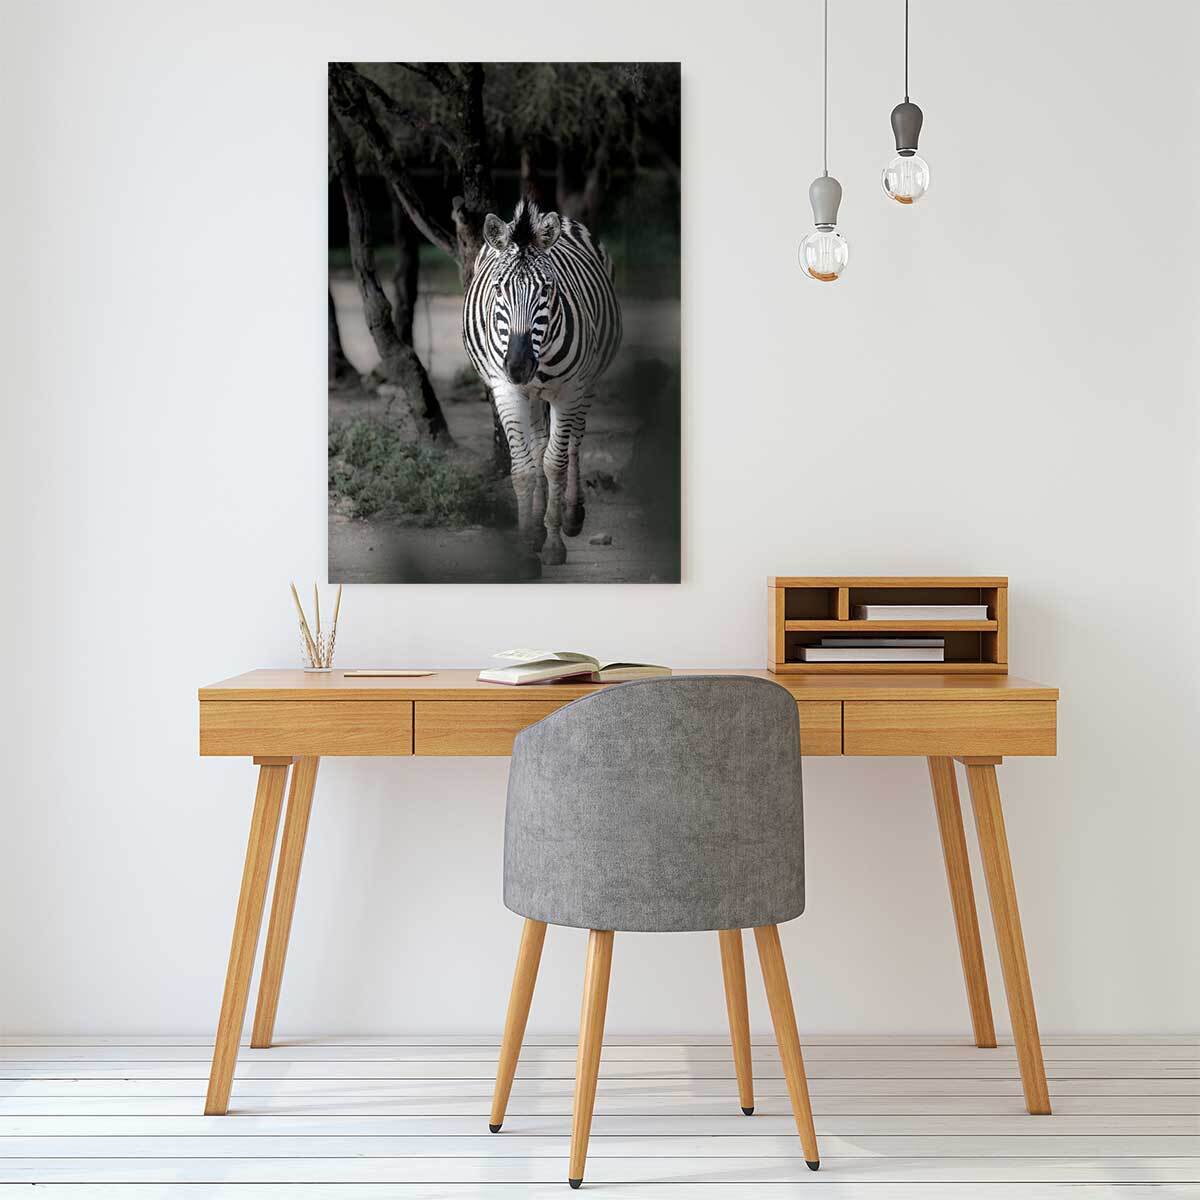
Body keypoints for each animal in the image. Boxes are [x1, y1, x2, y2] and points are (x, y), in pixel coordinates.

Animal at [463, 199, 622, 567]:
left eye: (547, 290)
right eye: (498, 288)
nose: (519, 366)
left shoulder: (568, 391)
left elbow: (555, 463)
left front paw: (553, 544)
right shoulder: (506, 389)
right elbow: (523, 467)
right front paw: (526, 546)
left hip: (587, 383)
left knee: (574, 443)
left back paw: (572, 516)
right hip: (532, 394)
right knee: (537, 446)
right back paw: (536, 528)